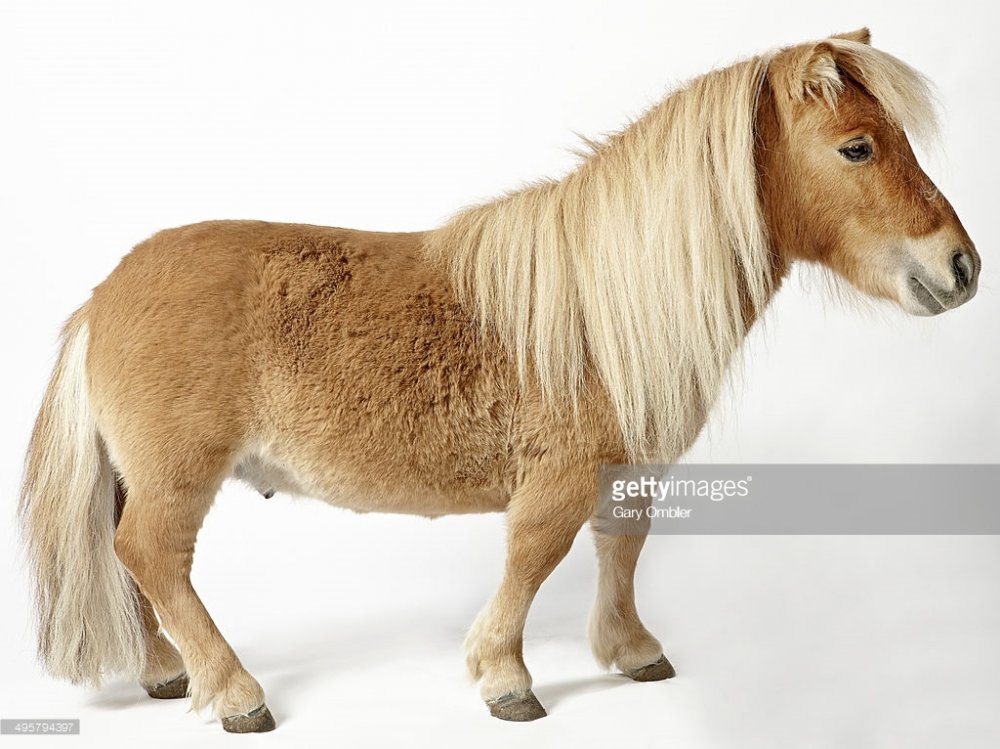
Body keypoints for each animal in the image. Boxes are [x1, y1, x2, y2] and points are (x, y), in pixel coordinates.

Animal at [19, 28, 979, 732]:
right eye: (856, 147)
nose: (962, 266)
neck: (600, 304)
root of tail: (103, 296)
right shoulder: (556, 481)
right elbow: (531, 560)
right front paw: (506, 677)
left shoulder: (625, 473)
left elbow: (620, 550)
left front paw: (632, 649)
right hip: (179, 477)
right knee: (152, 554)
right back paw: (235, 690)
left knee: (131, 562)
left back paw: (166, 672)